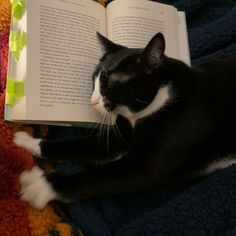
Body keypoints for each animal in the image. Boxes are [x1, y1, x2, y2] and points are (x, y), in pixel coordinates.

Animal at [13, 32, 236, 209]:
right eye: (94, 78)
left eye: (107, 82)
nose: (92, 101)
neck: (161, 98)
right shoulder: (121, 136)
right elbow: (76, 145)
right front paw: (25, 142)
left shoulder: (146, 165)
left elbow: (97, 176)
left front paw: (41, 186)